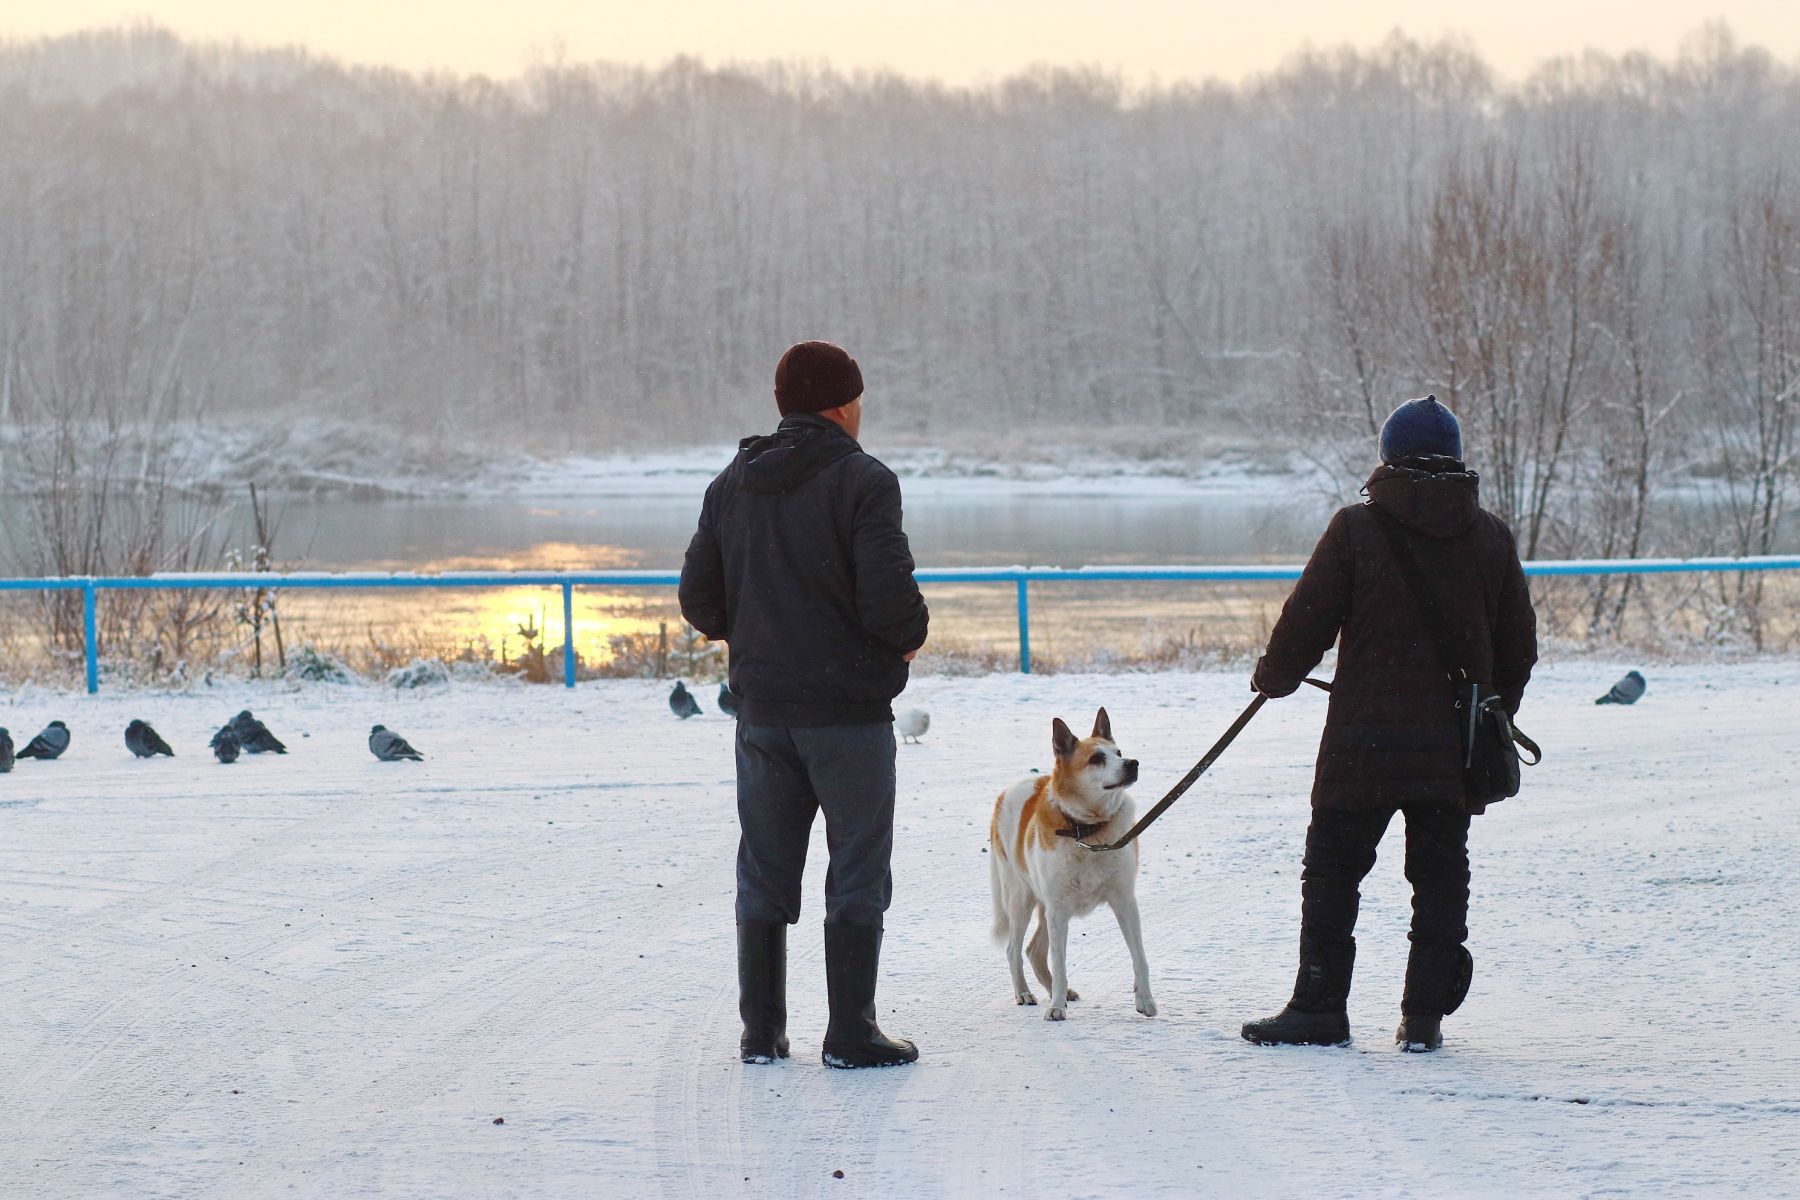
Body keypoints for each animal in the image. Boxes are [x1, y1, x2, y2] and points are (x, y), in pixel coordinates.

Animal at [993, 708, 1159, 1029]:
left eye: (1118, 752)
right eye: (1096, 758)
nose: (1132, 764)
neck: (1088, 831)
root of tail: (1006, 792)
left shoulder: (1124, 901)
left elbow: (1140, 956)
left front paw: (1145, 1000)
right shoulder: (1058, 910)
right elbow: (1059, 963)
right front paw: (1056, 1008)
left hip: (1045, 907)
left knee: (1033, 950)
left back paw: (1059, 991)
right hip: (1022, 899)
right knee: (1014, 950)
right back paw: (1025, 993)